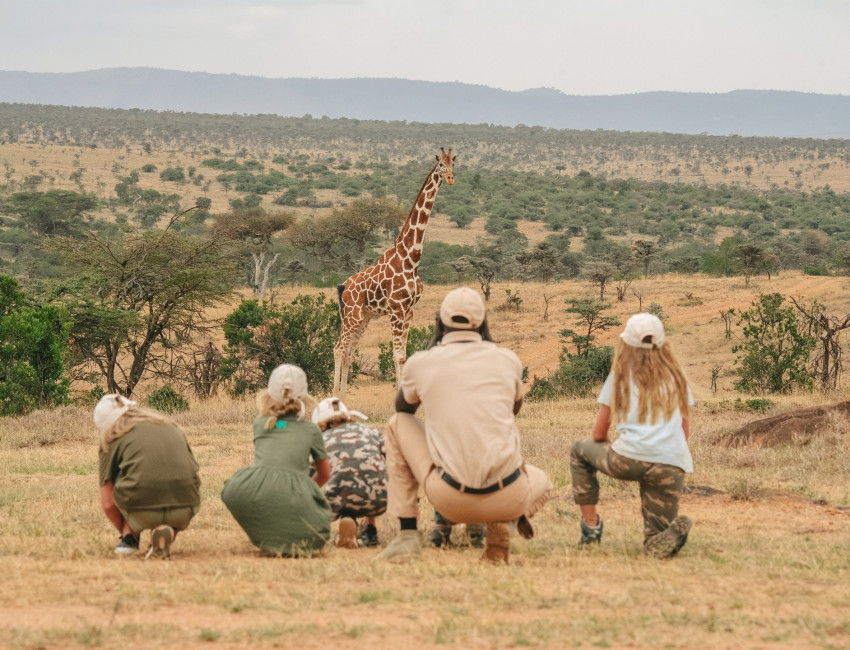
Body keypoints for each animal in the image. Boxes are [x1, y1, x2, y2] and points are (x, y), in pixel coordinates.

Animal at [332, 148, 456, 398]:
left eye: (454, 163)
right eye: (440, 164)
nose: (450, 178)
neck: (411, 257)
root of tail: (343, 287)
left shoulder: (409, 311)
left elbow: (404, 357)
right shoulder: (397, 309)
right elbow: (397, 355)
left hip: (362, 318)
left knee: (348, 352)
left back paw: (343, 398)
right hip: (353, 315)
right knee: (338, 348)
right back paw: (333, 396)